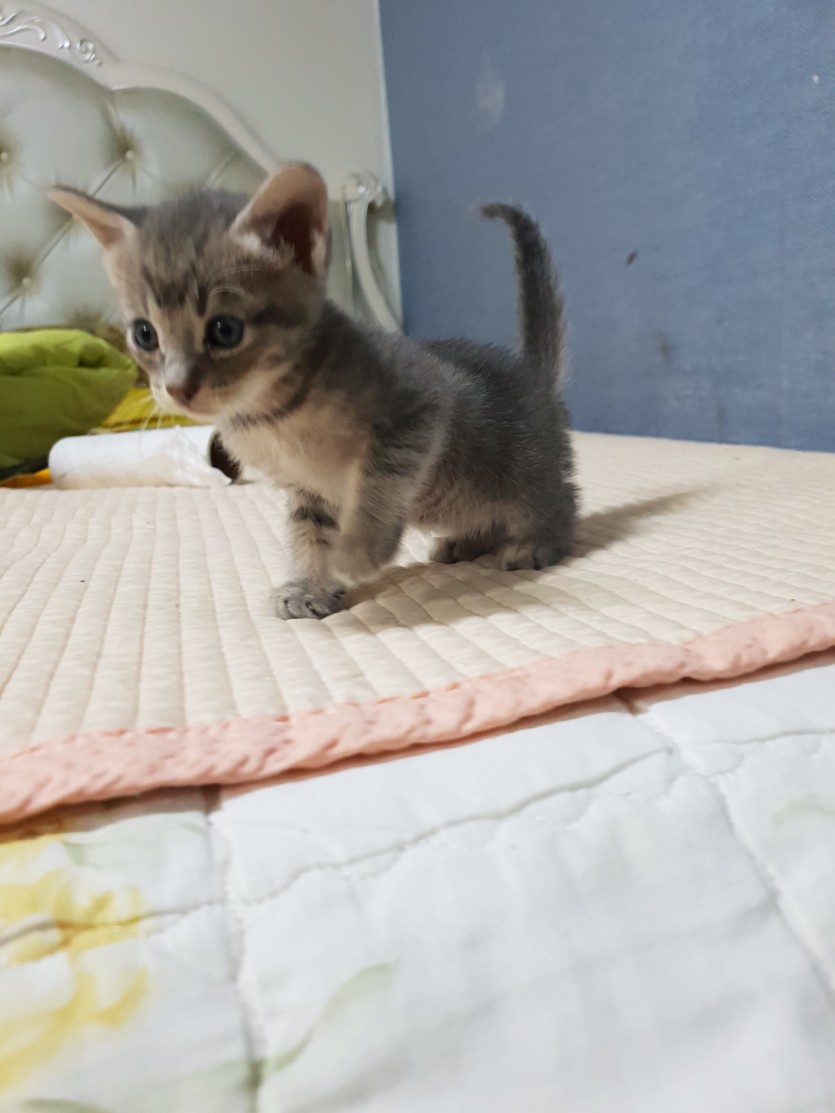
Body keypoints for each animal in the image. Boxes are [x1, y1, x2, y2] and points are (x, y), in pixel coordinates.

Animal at [50, 163, 577, 620]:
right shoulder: (307, 486)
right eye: (144, 335)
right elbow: (308, 534)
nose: (178, 388)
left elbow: (379, 480)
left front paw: (361, 549)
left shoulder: (419, 402)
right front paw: (310, 587)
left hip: (519, 472)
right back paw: (466, 541)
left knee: (556, 499)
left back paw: (536, 542)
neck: (270, 414)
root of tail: (531, 371)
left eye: (224, 330)